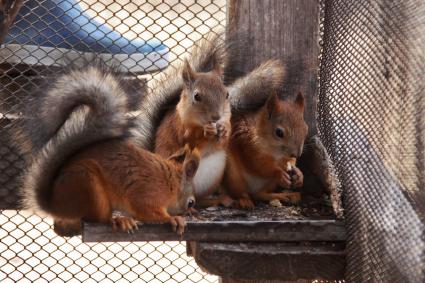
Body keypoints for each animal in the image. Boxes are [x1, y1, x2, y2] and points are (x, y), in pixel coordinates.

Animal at [14, 64, 197, 237]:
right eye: (191, 202)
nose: (190, 212)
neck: (171, 182)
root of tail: (55, 206)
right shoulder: (147, 193)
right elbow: (146, 211)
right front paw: (174, 219)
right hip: (89, 186)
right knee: (97, 219)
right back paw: (119, 220)